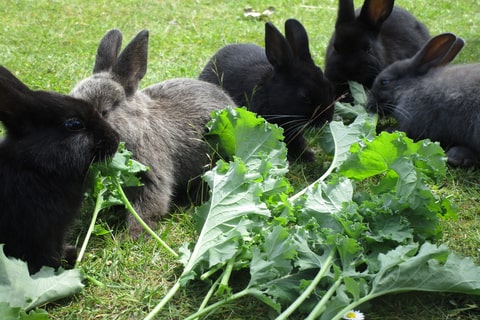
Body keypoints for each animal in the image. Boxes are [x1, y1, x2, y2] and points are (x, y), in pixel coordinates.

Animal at [0, 66, 119, 274]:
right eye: (74, 124)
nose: (117, 138)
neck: (36, 167)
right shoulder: (43, 233)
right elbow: (48, 256)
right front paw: (63, 266)